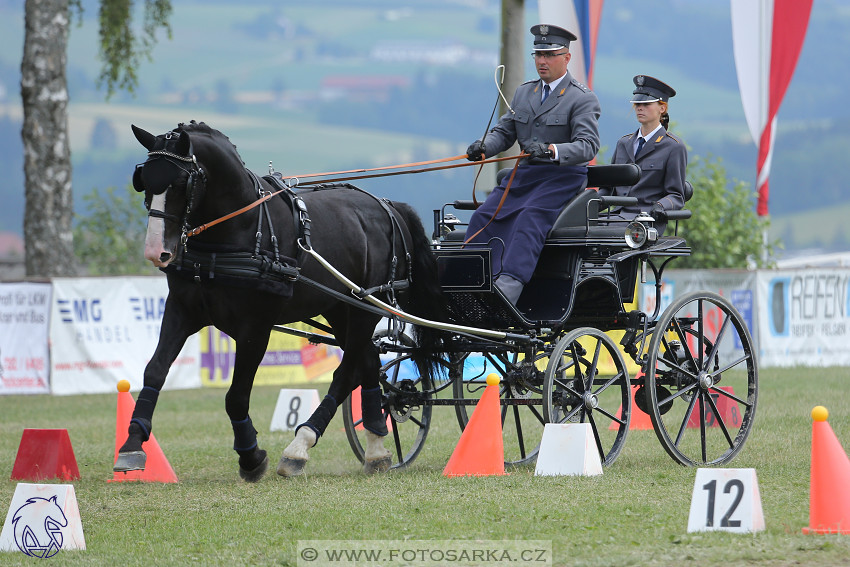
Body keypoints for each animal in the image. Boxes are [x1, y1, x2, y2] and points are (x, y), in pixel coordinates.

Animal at [120, 122, 448, 482]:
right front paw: (132, 444)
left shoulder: (255, 327)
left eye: (181, 183)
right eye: (143, 180)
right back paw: (375, 445)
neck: (239, 230)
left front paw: (250, 456)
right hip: (341, 309)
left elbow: (236, 397)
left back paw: (300, 447)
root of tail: (388, 205)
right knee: (368, 363)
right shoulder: (182, 310)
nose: (156, 252)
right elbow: (154, 371)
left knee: (346, 373)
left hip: (365, 307)